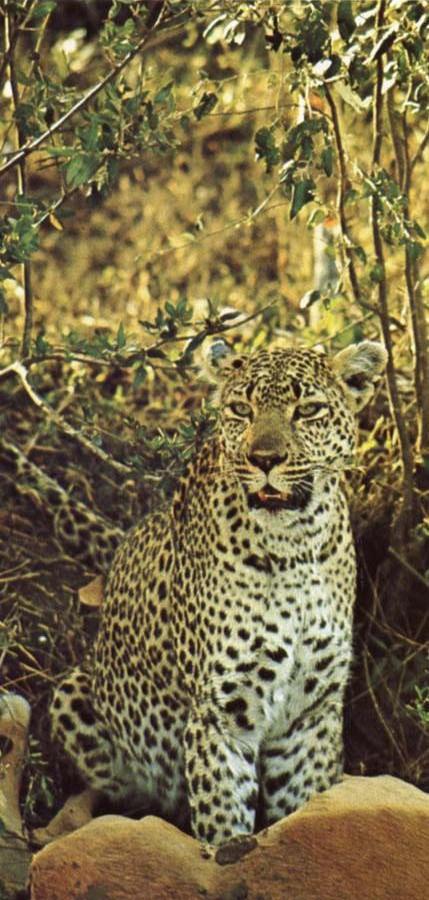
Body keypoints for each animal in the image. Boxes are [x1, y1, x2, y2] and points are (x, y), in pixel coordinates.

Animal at [38, 342, 386, 848]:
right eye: (241, 409)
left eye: (308, 410)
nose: (264, 458)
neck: (295, 547)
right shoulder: (221, 714)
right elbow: (224, 822)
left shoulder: (311, 716)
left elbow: (304, 808)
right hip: (73, 696)